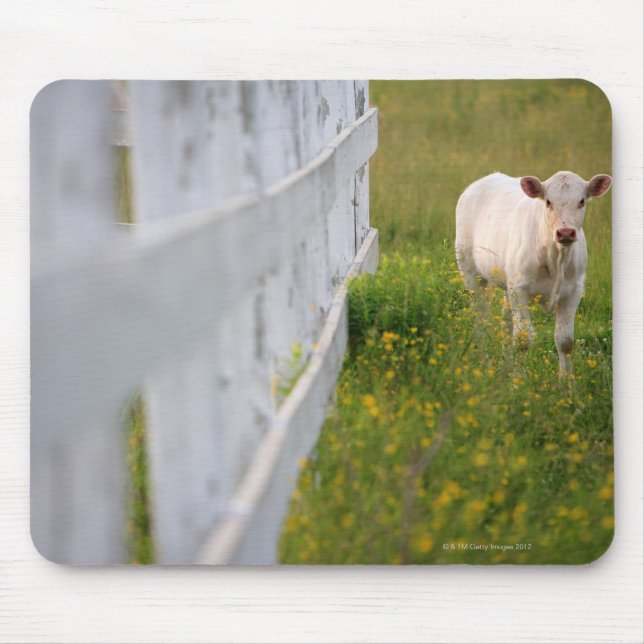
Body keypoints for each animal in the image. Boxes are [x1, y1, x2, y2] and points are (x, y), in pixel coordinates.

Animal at [455, 171, 612, 376]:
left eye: (582, 201)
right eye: (548, 201)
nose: (565, 232)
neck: (555, 258)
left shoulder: (574, 290)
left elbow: (565, 340)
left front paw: (566, 382)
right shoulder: (519, 289)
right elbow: (523, 338)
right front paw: (519, 380)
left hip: (507, 281)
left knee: (505, 320)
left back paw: (506, 366)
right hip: (471, 272)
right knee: (481, 319)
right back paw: (483, 364)